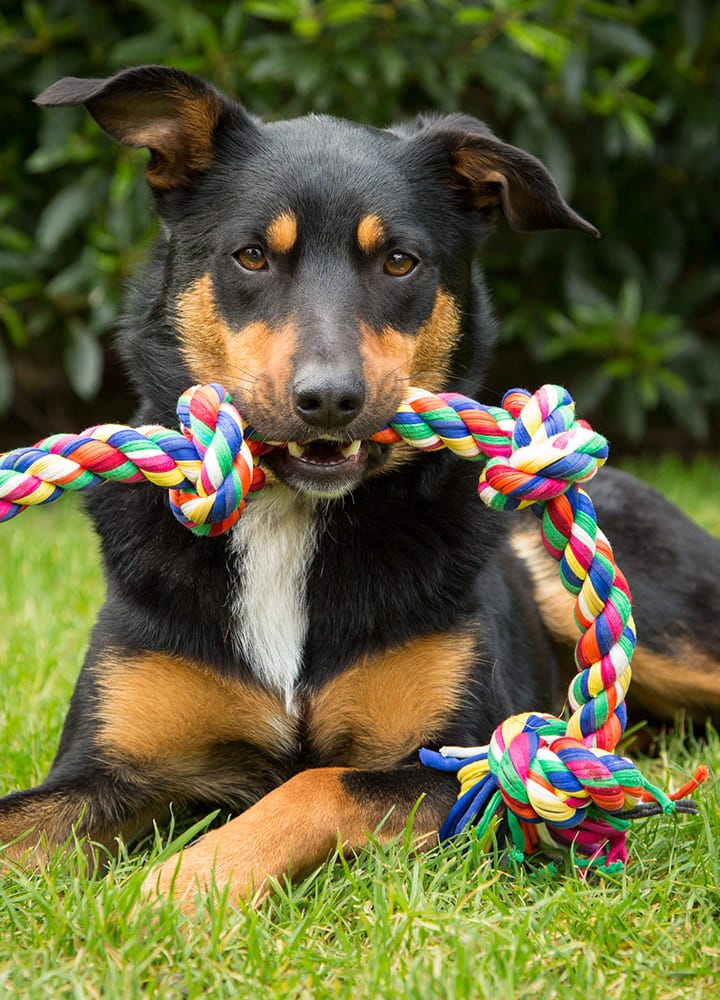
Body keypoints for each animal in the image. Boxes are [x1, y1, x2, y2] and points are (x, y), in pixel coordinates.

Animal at [1, 66, 720, 904]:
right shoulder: (108, 770)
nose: (329, 399)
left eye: (399, 262)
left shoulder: (462, 764)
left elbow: (315, 785)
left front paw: (176, 888)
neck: (290, 515)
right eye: (251, 256)